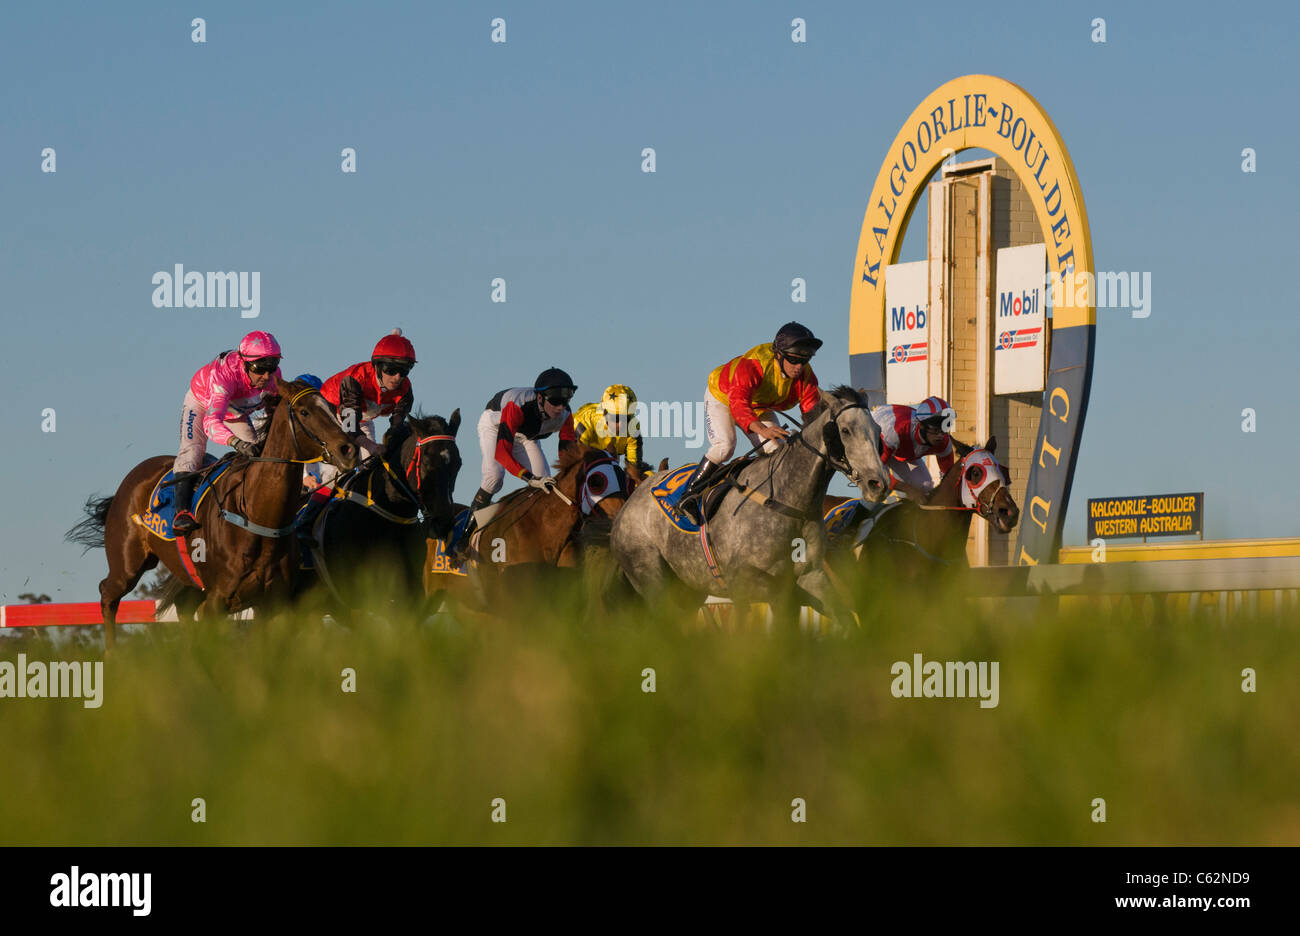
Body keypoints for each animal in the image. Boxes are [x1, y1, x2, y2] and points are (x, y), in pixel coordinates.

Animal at [68, 377, 358, 647]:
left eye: (331, 407)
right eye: (304, 411)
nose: (348, 449)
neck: (258, 515)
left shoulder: (273, 603)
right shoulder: (217, 601)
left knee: (182, 606)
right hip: (127, 564)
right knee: (108, 594)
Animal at [608, 387, 894, 629]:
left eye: (876, 429)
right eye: (845, 431)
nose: (878, 483)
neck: (788, 500)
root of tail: (632, 499)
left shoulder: (812, 576)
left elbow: (844, 620)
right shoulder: (745, 583)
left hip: (688, 589)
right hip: (650, 575)